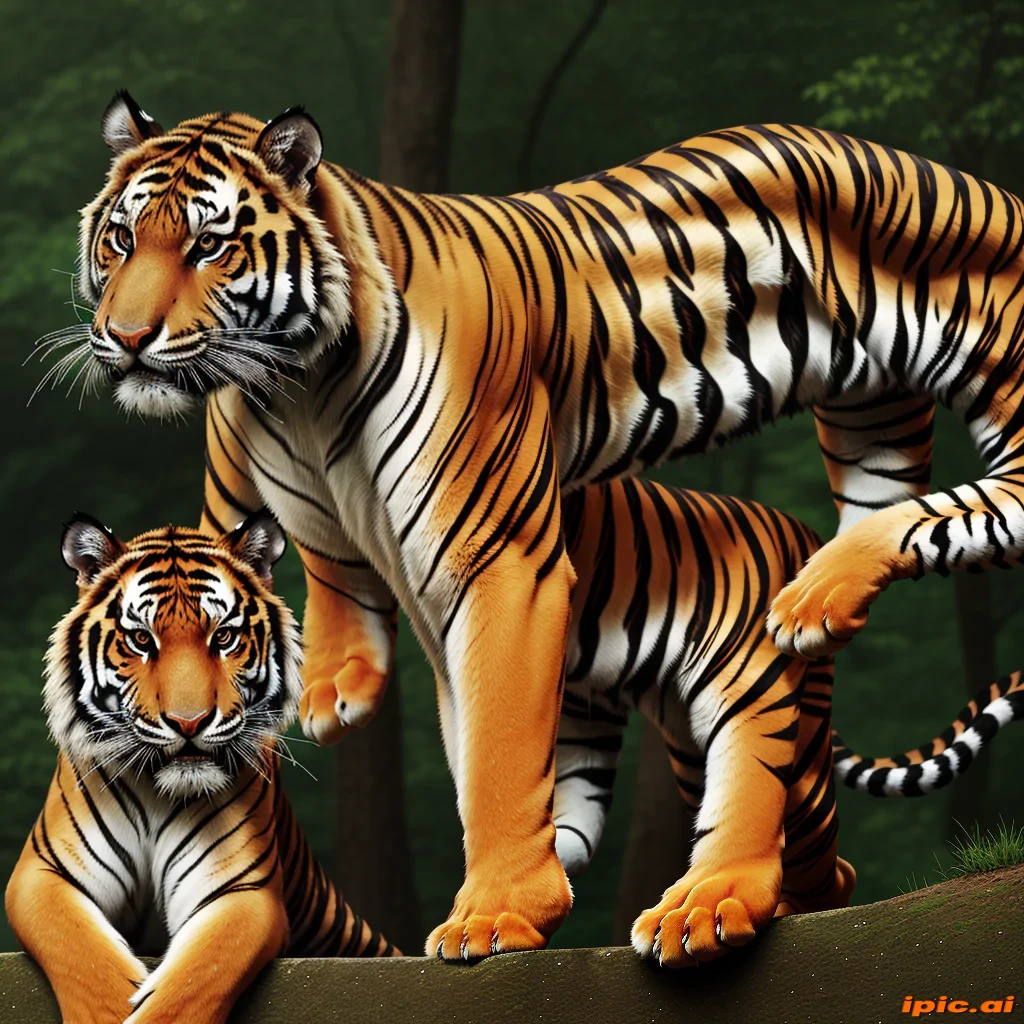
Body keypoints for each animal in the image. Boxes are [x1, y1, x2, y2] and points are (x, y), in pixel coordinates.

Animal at [4, 512, 397, 1024]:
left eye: (223, 637)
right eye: (141, 639)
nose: (189, 722)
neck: (156, 792)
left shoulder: (241, 891)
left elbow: (191, 986)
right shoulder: (43, 874)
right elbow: (84, 958)